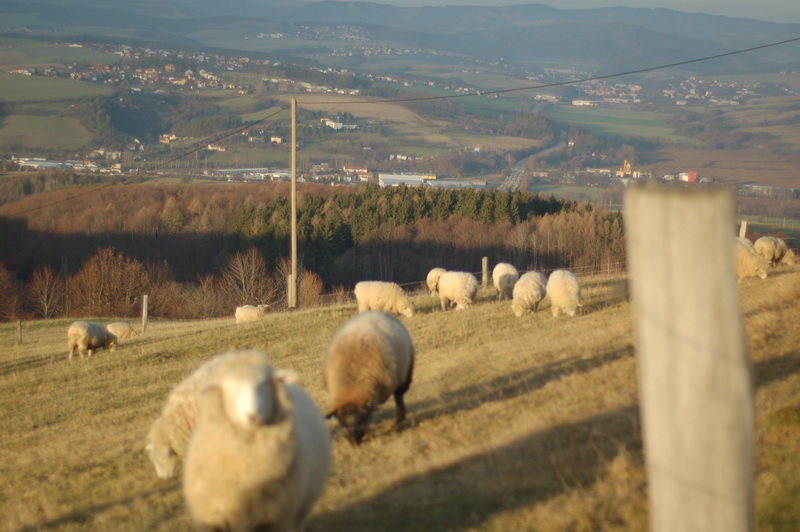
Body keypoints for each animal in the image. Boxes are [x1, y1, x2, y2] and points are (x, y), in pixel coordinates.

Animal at [323, 311, 415, 444]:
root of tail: (375, 312)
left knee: (399, 396)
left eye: (362, 419)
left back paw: (400, 418)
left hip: (404, 374)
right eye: (342, 424)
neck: (352, 382)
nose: (355, 442)